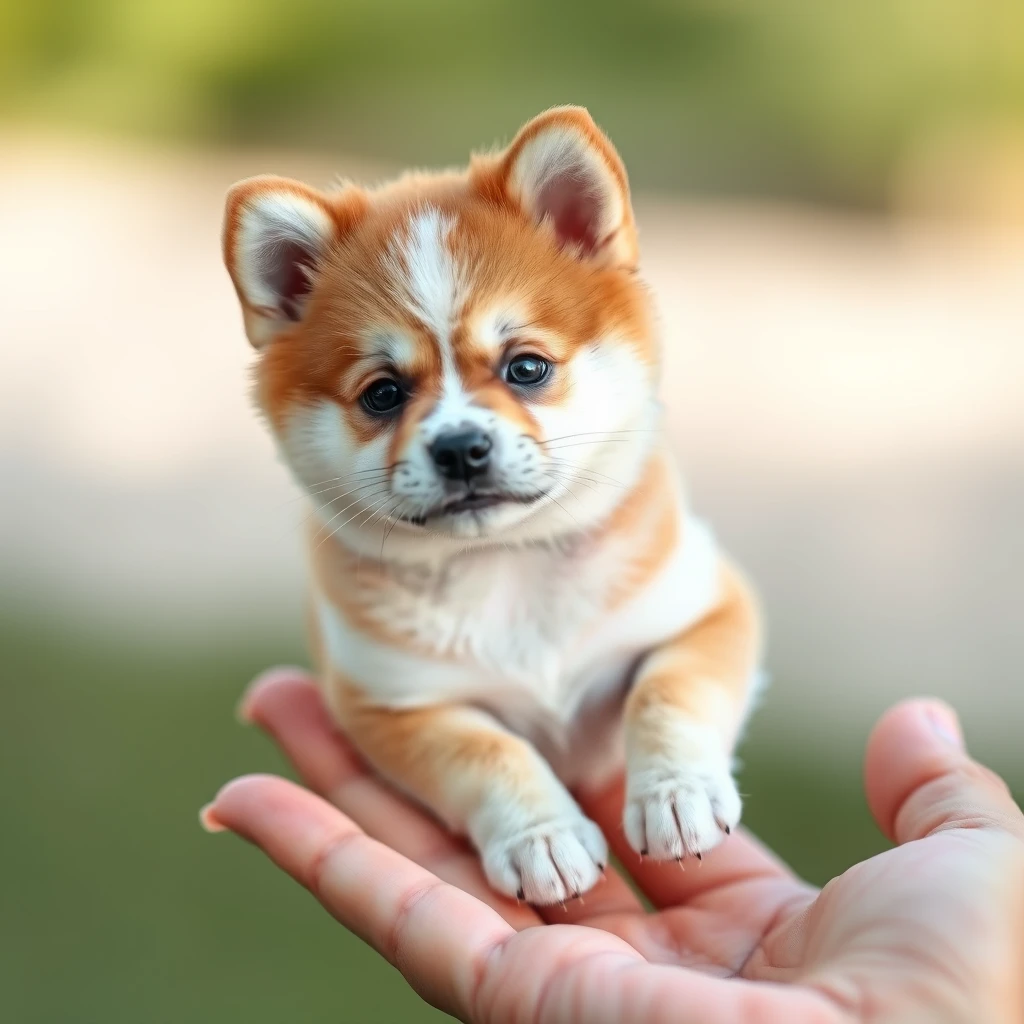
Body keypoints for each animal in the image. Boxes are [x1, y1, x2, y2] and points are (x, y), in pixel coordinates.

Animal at [220, 103, 761, 905]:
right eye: (383, 394)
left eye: (526, 368)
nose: (460, 448)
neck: (506, 561)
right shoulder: (397, 705)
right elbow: (489, 752)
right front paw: (543, 838)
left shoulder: (708, 612)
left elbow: (667, 692)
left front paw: (675, 792)